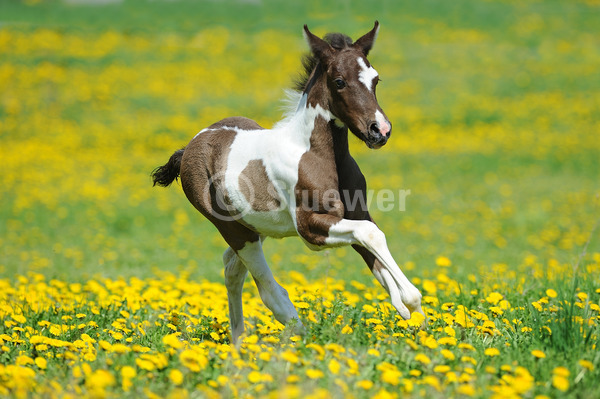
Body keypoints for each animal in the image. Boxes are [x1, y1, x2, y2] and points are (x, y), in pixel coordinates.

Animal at [155, 21, 426, 346]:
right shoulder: (310, 229)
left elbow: (374, 246)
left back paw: (238, 344)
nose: (380, 131)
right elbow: (370, 234)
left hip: (256, 227)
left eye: (375, 79)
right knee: (269, 291)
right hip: (234, 230)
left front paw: (407, 308)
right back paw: (297, 336)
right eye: (339, 81)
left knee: (232, 269)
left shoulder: (356, 213)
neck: (316, 156)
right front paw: (410, 302)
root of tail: (192, 145)